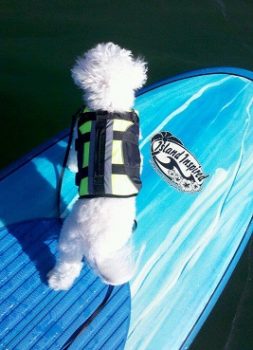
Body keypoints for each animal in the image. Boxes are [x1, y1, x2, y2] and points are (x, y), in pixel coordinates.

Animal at [47, 43, 147, 290]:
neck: (107, 107)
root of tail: (93, 243)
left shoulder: (76, 140)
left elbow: (73, 158)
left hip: (68, 242)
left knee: (67, 266)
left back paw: (57, 282)